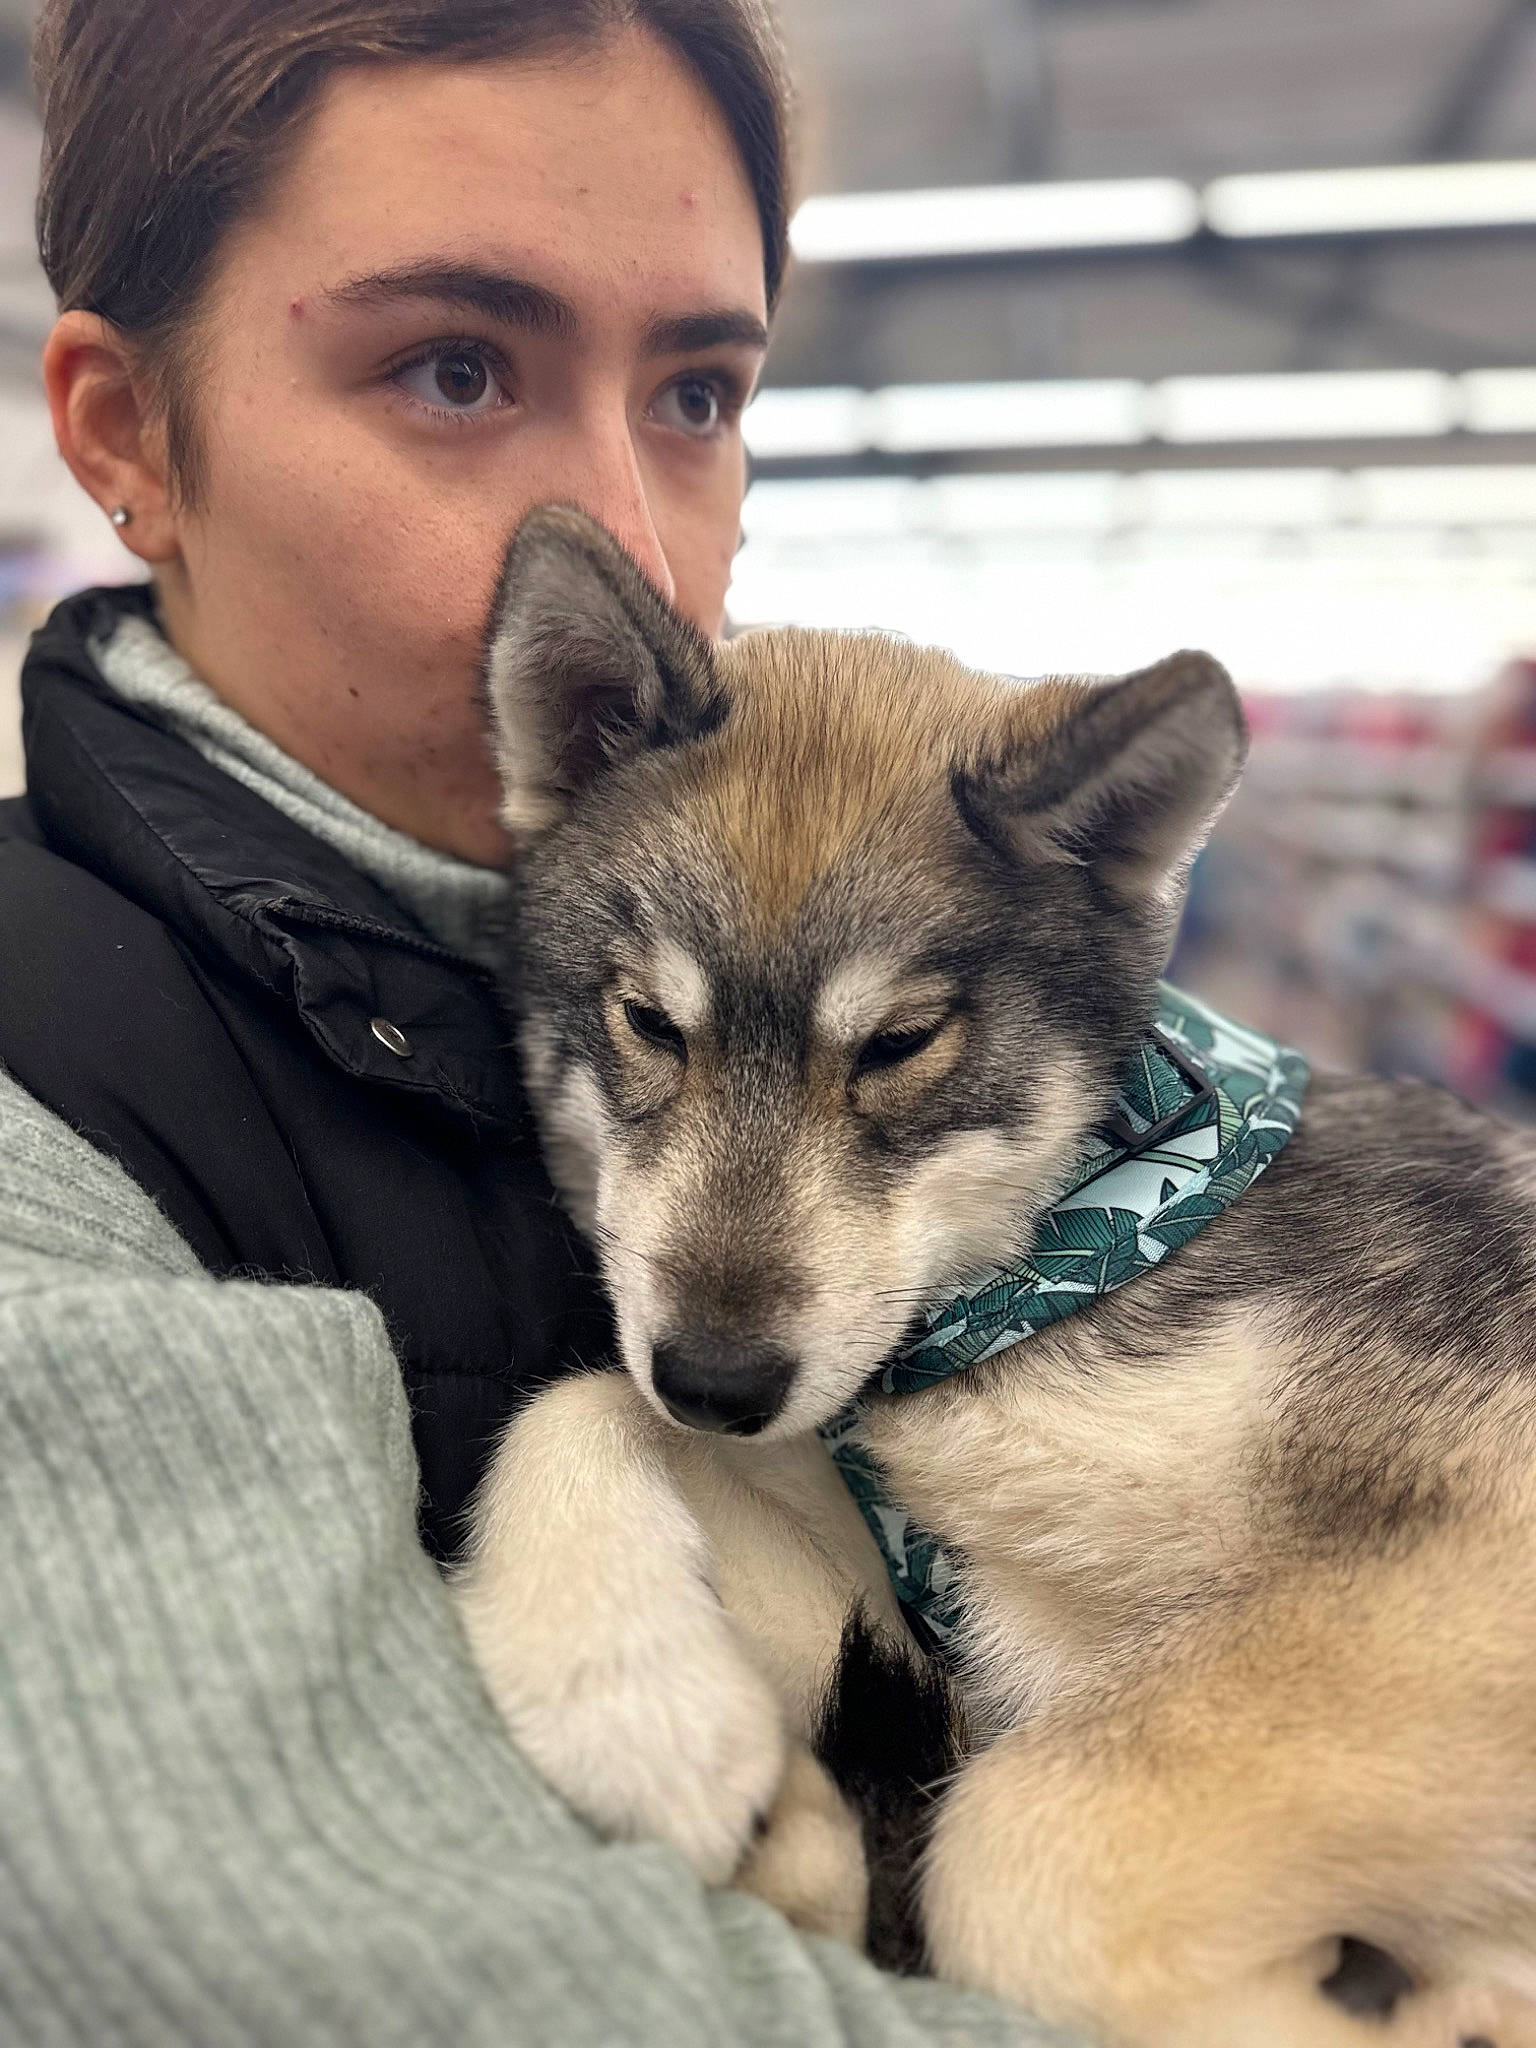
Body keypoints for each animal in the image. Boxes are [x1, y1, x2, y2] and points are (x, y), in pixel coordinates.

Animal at [451, 504, 1536, 2048]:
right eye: (649, 1022)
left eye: (902, 1043)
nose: (716, 1382)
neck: (1051, 1274)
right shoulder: (935, 1611)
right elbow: (571, 1404)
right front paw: (630, 1699)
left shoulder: (1442, 1560)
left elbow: (1027, 1845)